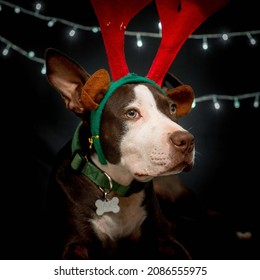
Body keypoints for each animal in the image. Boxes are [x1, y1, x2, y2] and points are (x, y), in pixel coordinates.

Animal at [43, 47, 195, 260]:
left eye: (172, 108)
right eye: (131, 113)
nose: (187, 141)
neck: (117, 187)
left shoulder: (166, 239)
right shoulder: (72, 245)